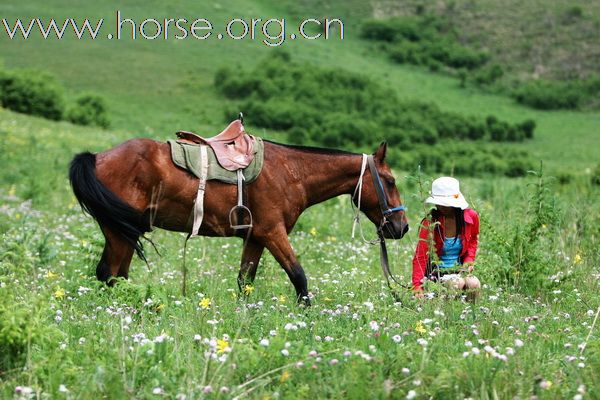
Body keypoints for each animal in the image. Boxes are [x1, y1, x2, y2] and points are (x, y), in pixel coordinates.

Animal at [69, 136, 408, 304]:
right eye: (390, 181)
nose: (402, 227)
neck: (290, 173)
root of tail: (97, 157)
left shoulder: (255, 238)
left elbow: (245, 281)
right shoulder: (273, 233)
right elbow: (299, 277)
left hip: (123, 232)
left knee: (117, 275)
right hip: (118, 231)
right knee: (110, 274)